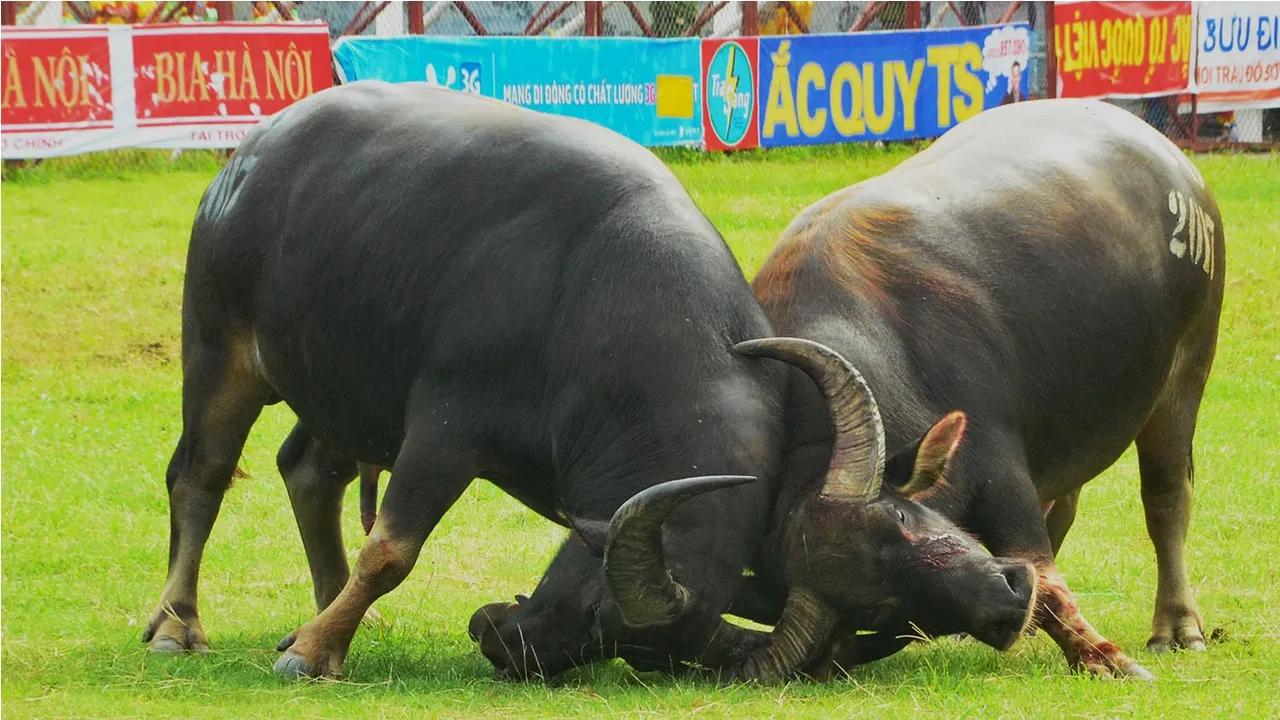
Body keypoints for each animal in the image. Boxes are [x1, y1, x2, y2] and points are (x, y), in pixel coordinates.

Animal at [142, 81, 1039, 681]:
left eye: (628, 646)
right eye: (601, 609)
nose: (504, 643)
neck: (601, 301)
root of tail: (257, 150)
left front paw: (320, 639)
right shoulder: (443, 426)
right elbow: (393, 547)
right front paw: (312, 654)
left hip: (340, 384)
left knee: (308, 472)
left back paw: (319, 610)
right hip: (219, 344)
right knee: (201, 475)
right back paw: (178, 626)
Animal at [742, 98, 1228, 676]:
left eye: (899, 515)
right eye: (876, 606)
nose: (1006, 599)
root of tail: (1179, 167)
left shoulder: (1002, 471)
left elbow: (1053, 584)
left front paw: (1109, 659)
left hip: (1187, 372)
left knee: (1166, 498)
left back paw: (1177, 627)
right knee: (1067, 499)